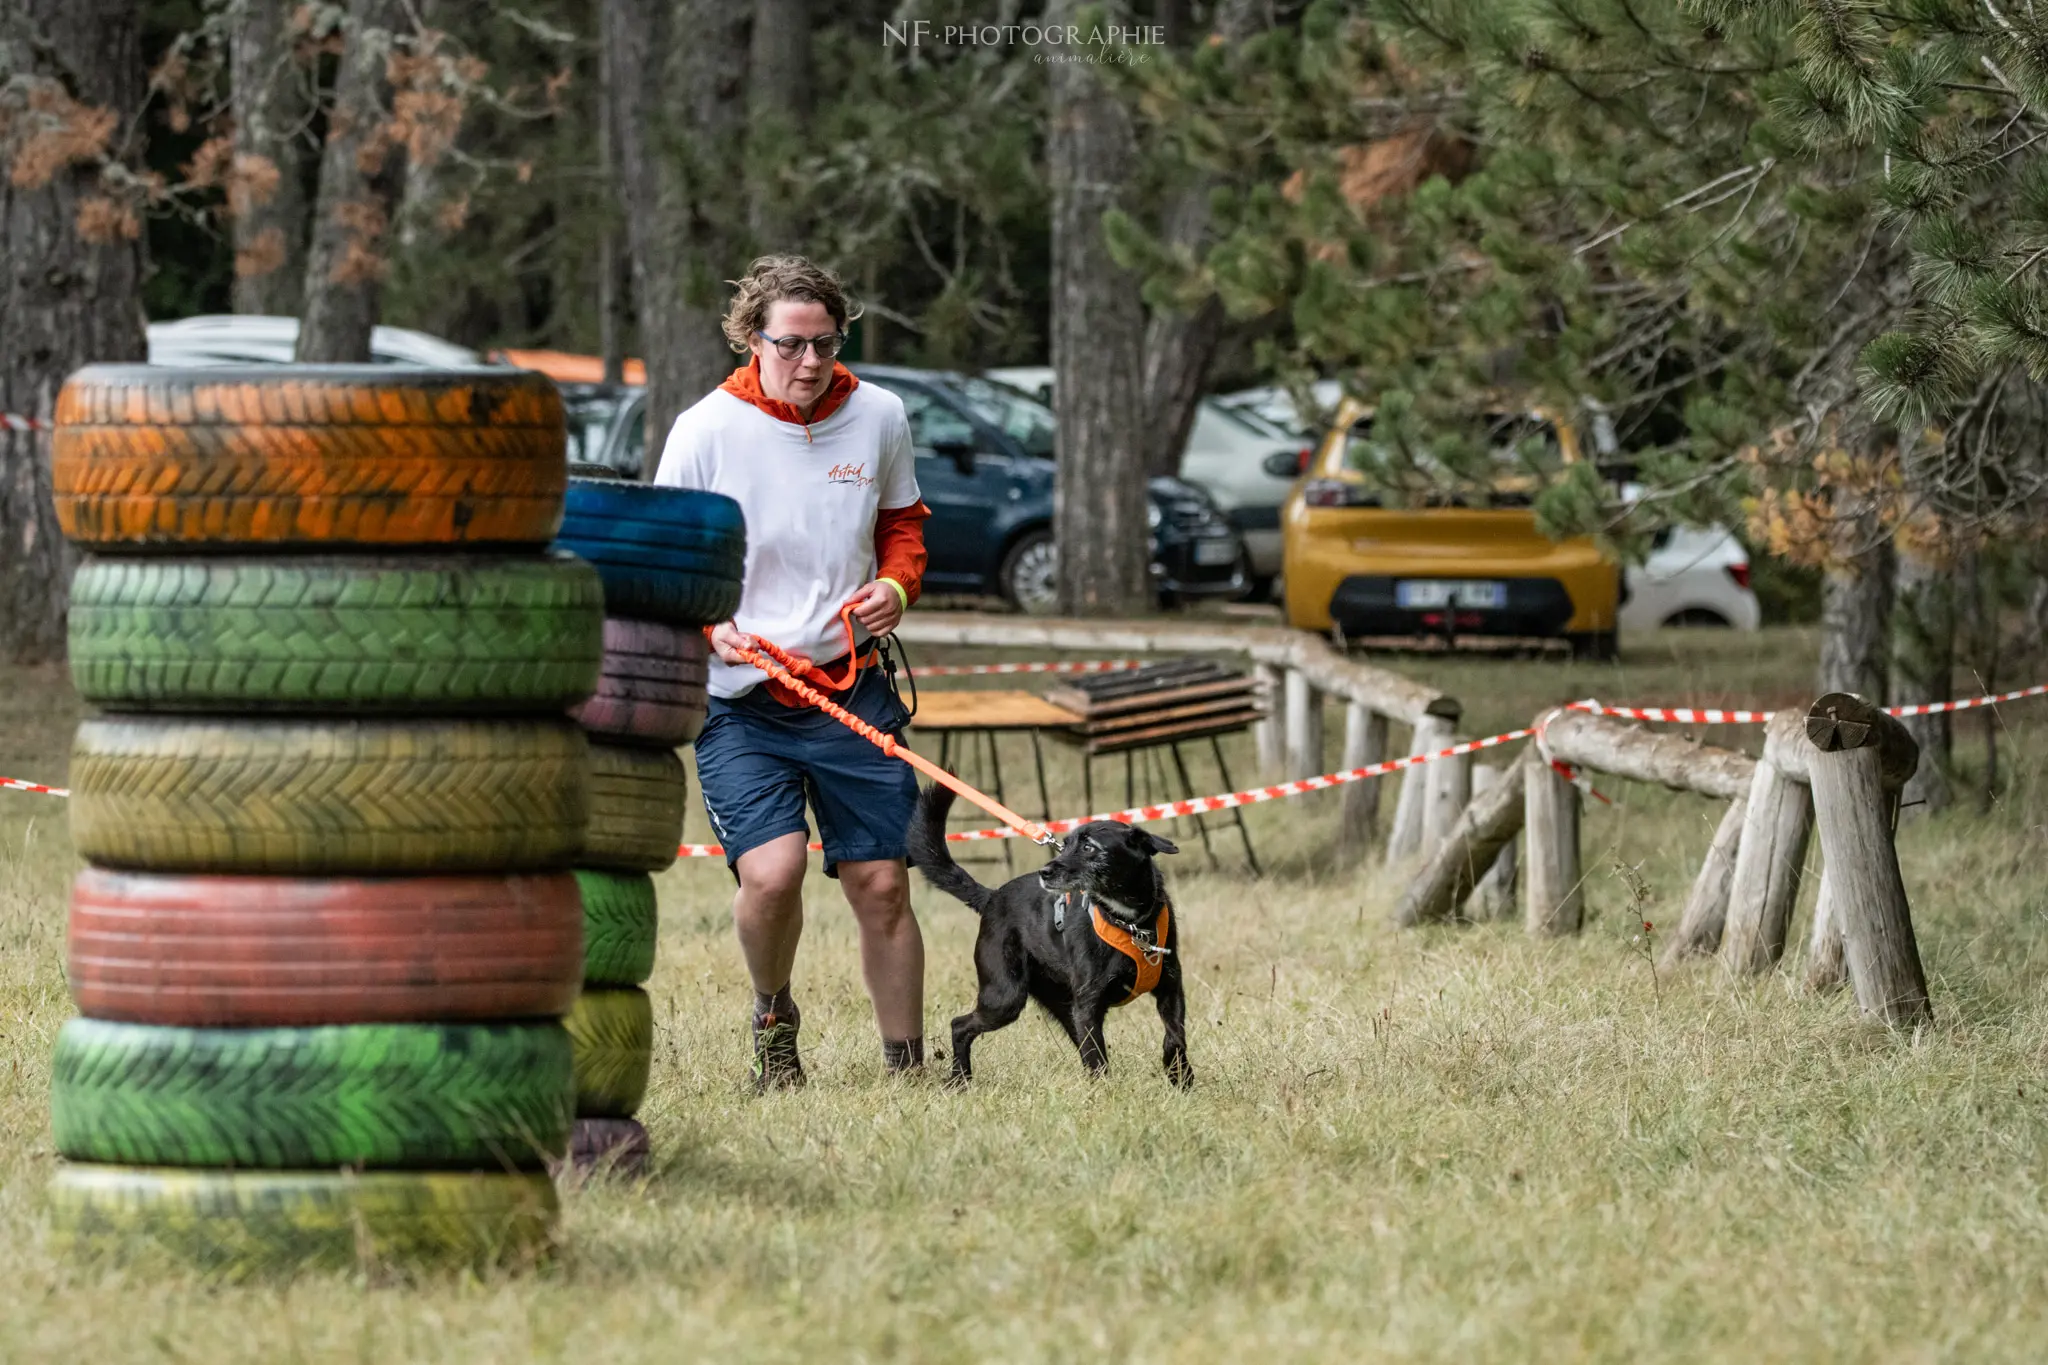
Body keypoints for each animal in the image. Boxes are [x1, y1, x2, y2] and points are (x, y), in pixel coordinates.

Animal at [909, 789, 1196, 1088]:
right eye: (1066, 845)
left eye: (1089, 847)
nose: (1044, 872)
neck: (1129, 922)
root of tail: (992, 897)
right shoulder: (1088, 1003)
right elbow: (1097, 1057)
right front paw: (1106, 1093)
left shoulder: (1170, 988)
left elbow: (1174, 1038)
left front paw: (1181, 1079)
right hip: (1005, 996)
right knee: (960, 1025)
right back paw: (959, 1079)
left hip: (1061, 1005)